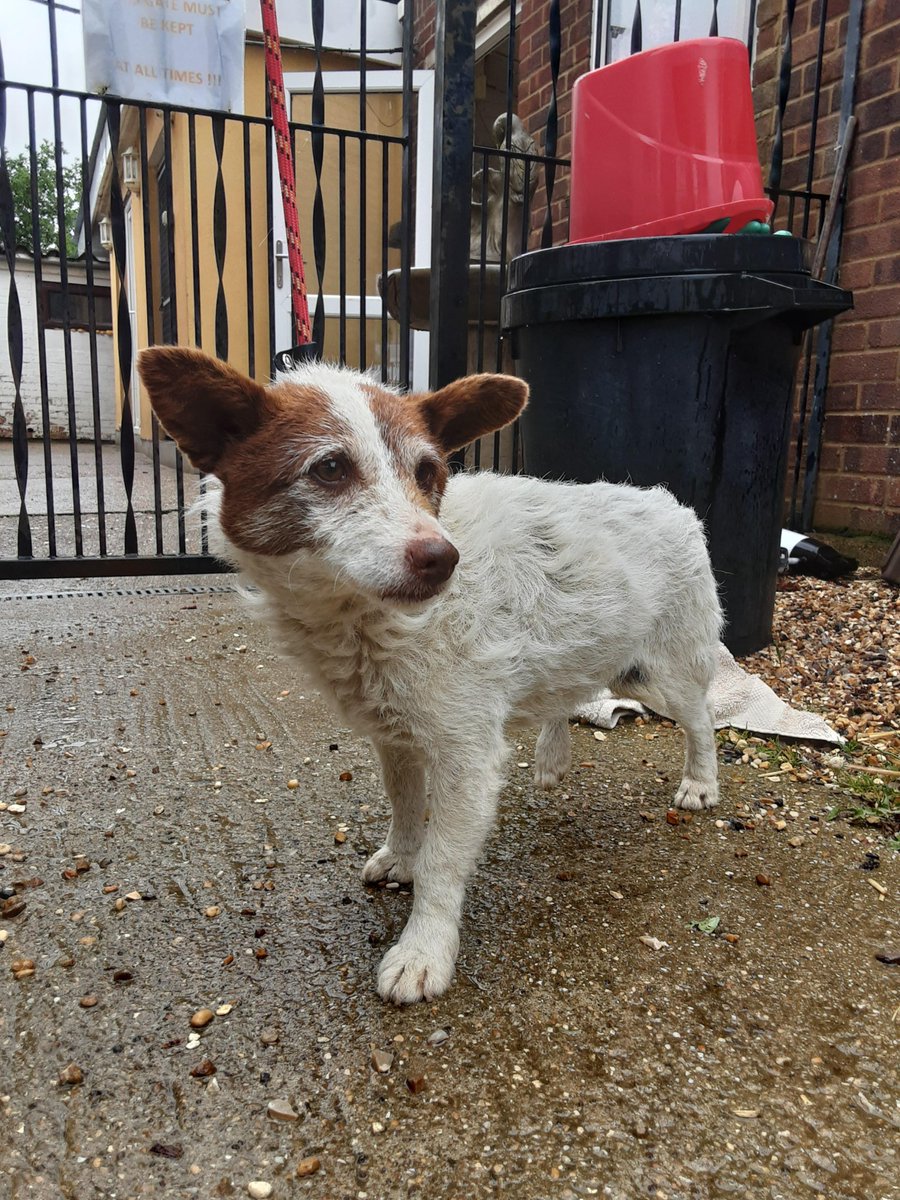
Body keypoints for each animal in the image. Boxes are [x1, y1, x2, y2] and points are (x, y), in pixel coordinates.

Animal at [137, 348, 724, 1003]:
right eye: (330, 468)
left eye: (427, 471)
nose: (443, 560)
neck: (368, 621)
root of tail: (671, 504)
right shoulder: (392, 732)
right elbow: (402, 802)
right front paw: (401, 856)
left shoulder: (465, 752)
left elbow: (443, 861)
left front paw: (424, 952)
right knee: (567, 693)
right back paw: (552, 758)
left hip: (656, 671)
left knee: (702, 716)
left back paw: (701, 783)